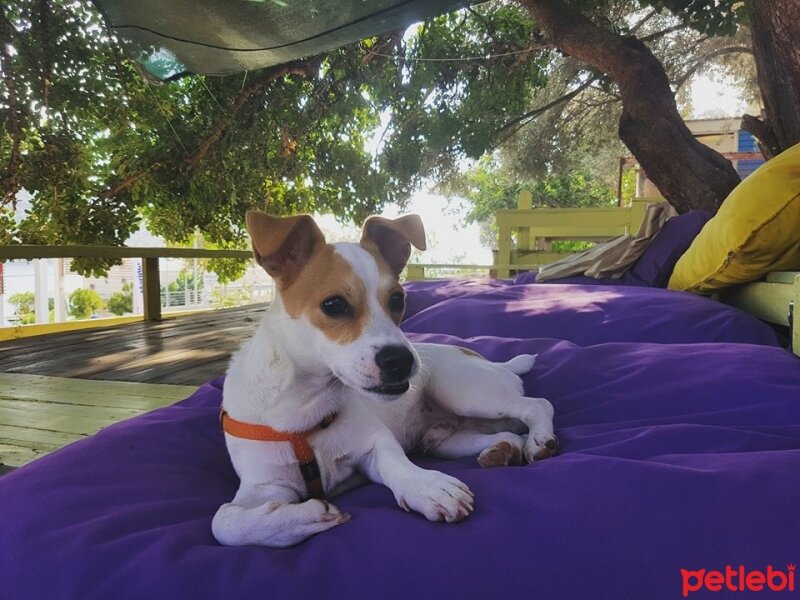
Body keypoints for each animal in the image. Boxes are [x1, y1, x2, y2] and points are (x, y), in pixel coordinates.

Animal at [212, 212, 556, 548]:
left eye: (398, 299)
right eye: (334, 305)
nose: (402, 361)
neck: (307, 407)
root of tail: (493, 362)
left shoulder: (374, 446)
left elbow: (397, 464)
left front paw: (426, 487)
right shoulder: (265, 486)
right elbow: (224, 522)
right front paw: (306, 516)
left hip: (462, 391)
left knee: (538, 405)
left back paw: (539, 440)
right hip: (446, 443)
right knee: (508, 435)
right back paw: (502, 450)